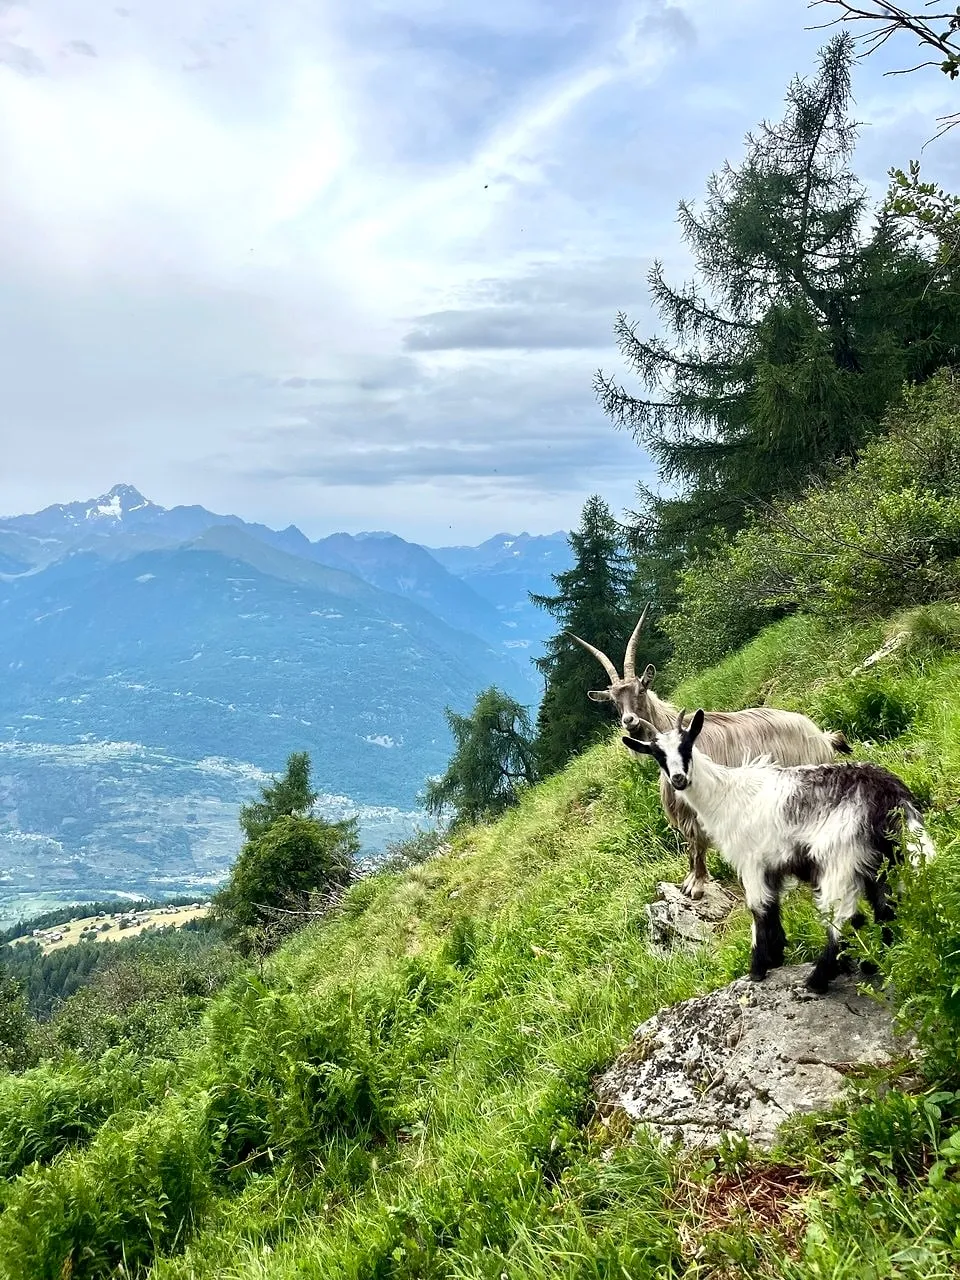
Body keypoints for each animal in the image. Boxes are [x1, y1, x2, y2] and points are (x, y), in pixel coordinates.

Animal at [569, 607, 851, 900]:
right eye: (614, 700)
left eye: (641, 689)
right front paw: (691, 879)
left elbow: (697, 840)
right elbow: (691, 841)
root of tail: (820, 735)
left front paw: (697, 884)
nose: (630, 721)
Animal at [622, 709, 935, 993]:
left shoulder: (751, 861)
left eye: (687, 744)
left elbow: (758, 908)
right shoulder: (773, 866)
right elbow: (772, 907)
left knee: (842, 918)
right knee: (887, 909)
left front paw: (758, 968)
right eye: (657, 754)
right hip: (887, 860)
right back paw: (874, 963)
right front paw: (775, 956)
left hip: (840, 859)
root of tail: (892, 797)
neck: (725, 795)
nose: (678, 779)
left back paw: (818, 980)